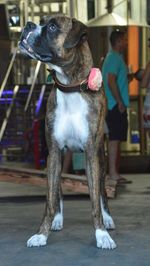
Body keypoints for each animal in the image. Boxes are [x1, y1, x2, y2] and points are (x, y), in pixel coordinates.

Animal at [19, 15, 116, 249]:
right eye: (41, 21)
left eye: (53, 27)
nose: (28, 25)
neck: (70, 86)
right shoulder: (54, 152)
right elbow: (50, 199)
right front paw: (42, 233)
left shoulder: (91, 154)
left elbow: (95, 200)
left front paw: (101, 234)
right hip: (59, 157)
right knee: (58, 191)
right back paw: (57, 219)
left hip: (100, 158)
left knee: (102, 192)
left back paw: (108, 219)